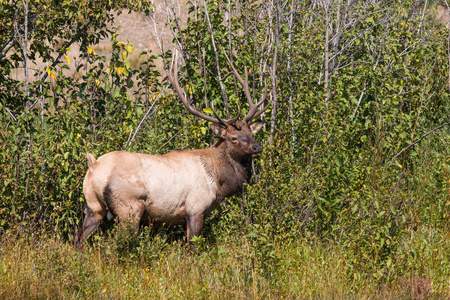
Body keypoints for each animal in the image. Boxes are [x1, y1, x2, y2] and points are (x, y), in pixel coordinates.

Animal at [74, 52, 270, 251]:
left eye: (251, 133)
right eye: (234, 138)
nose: (257, 147)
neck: (218, 181)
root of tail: (94, 164)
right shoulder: (195, 207)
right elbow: (193, 247)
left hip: (93, 206)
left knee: (79, 239)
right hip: (129, 206)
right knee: (120, 242)